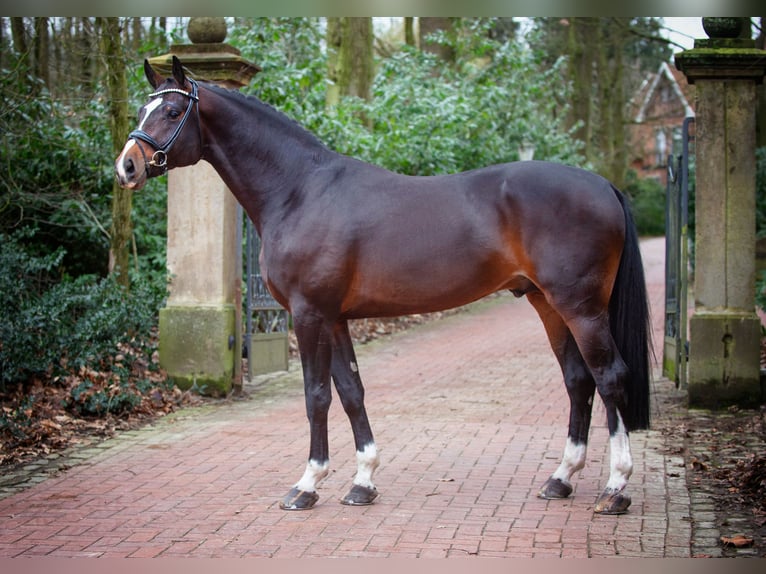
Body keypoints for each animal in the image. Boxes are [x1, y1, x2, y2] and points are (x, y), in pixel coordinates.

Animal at [117, 57, 652, 516]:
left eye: (171, 110)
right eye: (141, 109)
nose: (127, 166)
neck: (299, 190)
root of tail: (603, 186)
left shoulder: (309, 314)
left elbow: (316, 395)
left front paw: (307, 485)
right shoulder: (334, 317)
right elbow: (351, 391)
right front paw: (363, 482)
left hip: (581, 307)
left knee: (610, 378)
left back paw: (616, 488)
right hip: (548, 304)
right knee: (578, 380)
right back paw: (561, 479)